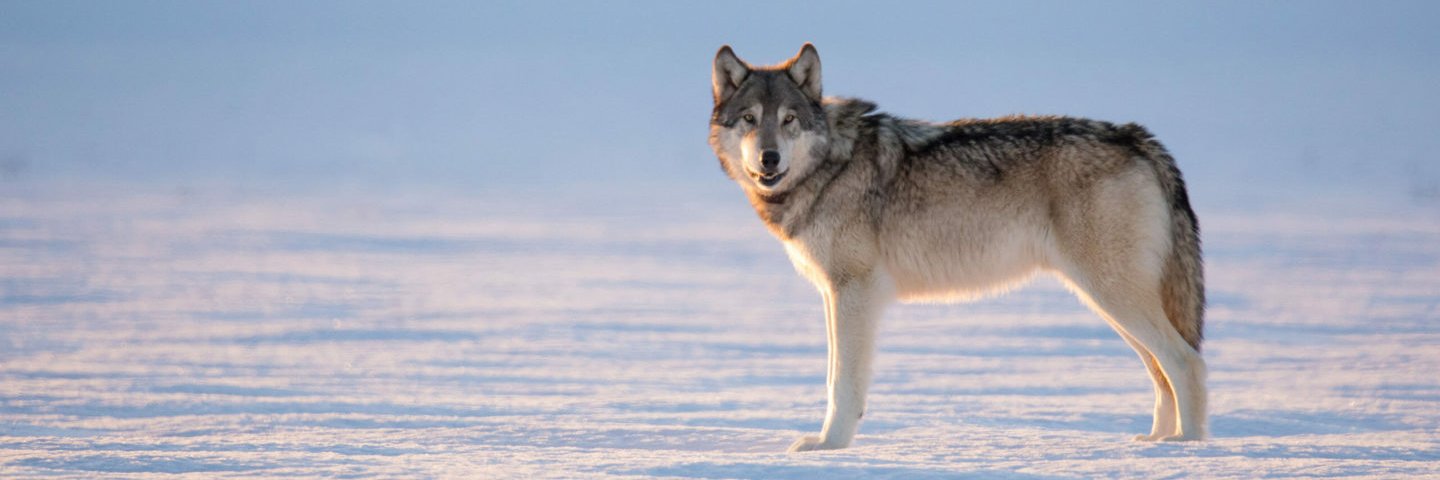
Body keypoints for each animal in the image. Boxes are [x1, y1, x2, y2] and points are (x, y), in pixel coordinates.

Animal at [708, 44, 1207, 452]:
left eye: (788, 120)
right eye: (750, 119)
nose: (769, 158)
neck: (831, 164)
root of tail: (1136, 137)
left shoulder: (853, 291)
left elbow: (842, 382)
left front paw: (830, 447)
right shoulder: (834, 294)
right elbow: (835, 376)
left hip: (1112, 295)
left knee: (1186, 362)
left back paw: (1188, 447)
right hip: (1109, 303)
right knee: (1161, 372)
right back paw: (1156, 444)